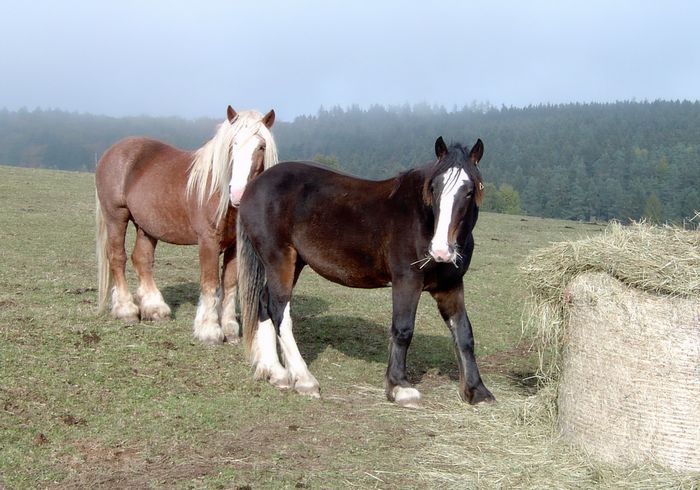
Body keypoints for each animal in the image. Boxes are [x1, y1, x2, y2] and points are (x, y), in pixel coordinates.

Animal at [95, 106, 276, 344]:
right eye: (232, 144)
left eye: (261, 146)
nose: (237, 193)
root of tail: (112, 151)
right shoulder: (208, 241)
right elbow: (210, 283)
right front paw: (209, 330)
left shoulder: (234, 245)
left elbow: (229, 284)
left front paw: (230, 329)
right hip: (116, 216)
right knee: (117, 257)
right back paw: (126, 310)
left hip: (146, 227)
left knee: (142, 259)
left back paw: (156, 309)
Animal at [238, 137, 494, 406]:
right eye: (433, 188)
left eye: (469, 191)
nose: (440, 250)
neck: (422, 220)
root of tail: (255, 184)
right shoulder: (407, 281)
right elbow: (403, 329)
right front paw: (400, 387)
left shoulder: (450, 286)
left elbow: (464, 333)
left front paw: (477, 390)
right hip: (279, 259)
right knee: (279, 310)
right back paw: (304, 379)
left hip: (293, 263)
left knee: (264, 302)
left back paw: (275, 373)